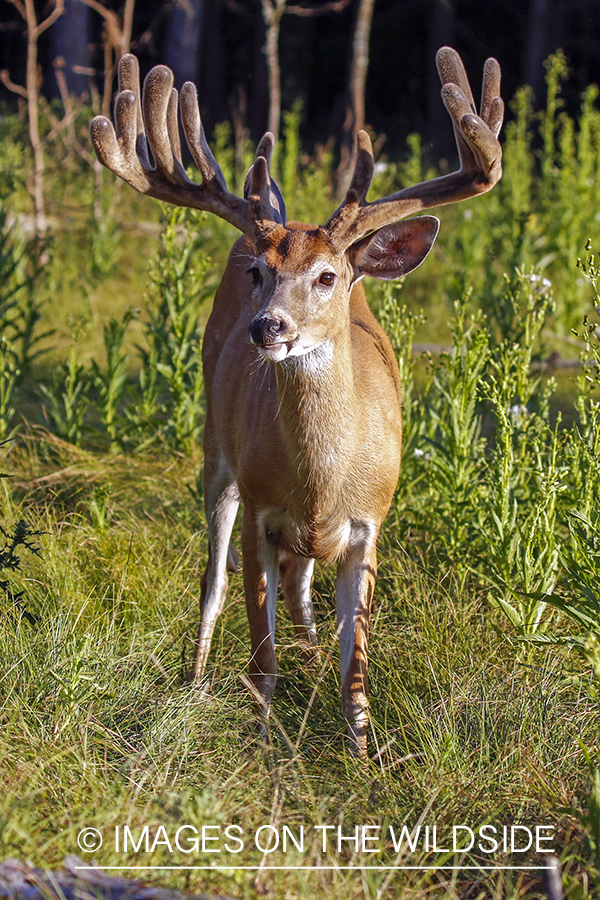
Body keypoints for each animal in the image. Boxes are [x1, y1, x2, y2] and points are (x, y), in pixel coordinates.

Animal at [89, 47, 502, 752]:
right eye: (260, 272)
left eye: (328, 275)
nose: (267, 327)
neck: (323, 478)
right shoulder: (261, 507)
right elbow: (261, 654)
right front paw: (260, 741)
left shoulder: (369, 523)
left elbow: (354, 666)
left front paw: (364, 752)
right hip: (215, 453)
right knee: (215, 578)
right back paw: (194, 681)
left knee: (298, 586)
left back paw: (306, 655)